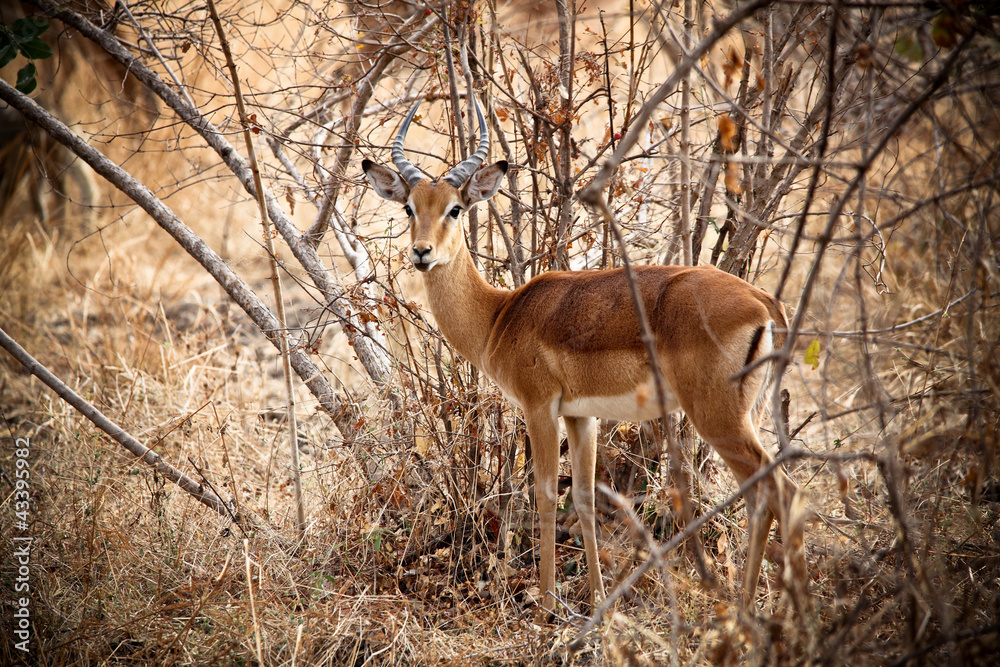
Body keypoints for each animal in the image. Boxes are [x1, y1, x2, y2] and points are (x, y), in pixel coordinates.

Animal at [362, 98, 797, 613]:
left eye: (455, 208)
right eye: (410, 206)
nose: (421, 253)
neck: (500, 315)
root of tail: (762, 302)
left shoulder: (539, 407)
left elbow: (547, 494)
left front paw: (548, 601)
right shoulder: (581, 415)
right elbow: (586, 499)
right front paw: (597, 597)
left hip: (717, 415)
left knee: (778, 491)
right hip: (741, 414)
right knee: (765, 495)